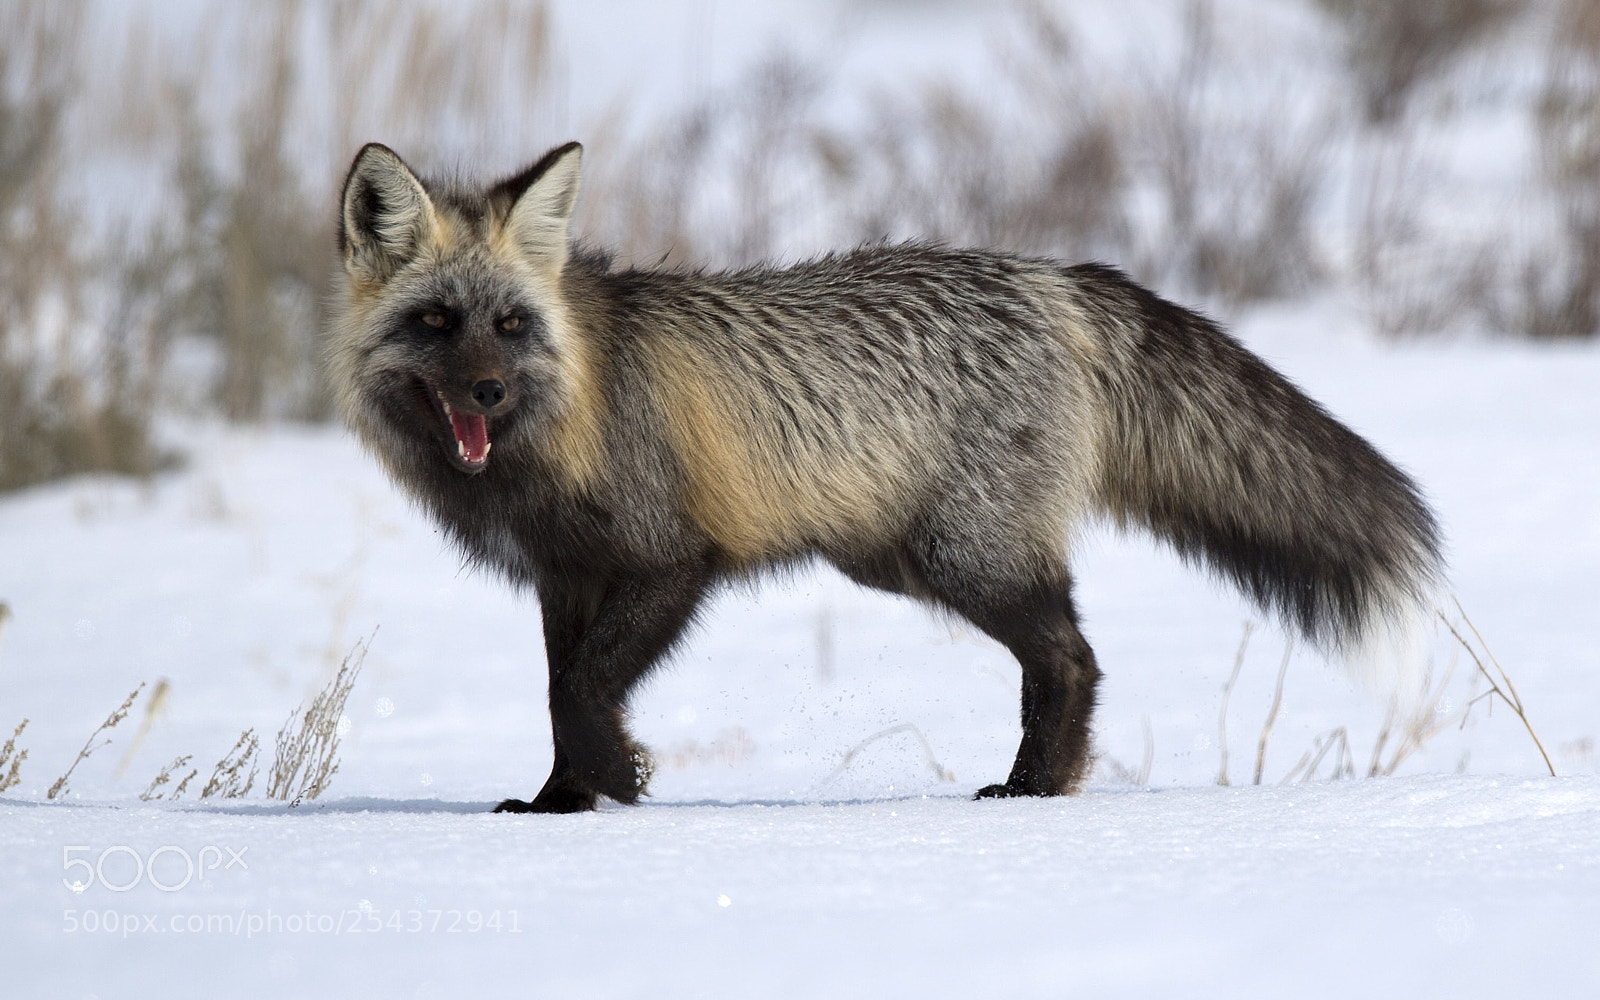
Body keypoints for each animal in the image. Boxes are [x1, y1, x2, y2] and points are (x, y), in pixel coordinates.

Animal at [327, 140, 1442, 813]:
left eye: (511, 326)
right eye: (437, 322)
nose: (484, 393)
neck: (568, 421)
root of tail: (1050, 276)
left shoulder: (670, 559)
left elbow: (589, 686)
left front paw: (619, 778)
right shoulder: (565, 578)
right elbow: (563, 692)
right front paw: (563, 803)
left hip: (964, 558)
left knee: (1073, 659)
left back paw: (1034, 790)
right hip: (901, 559)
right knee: (1066, 658)